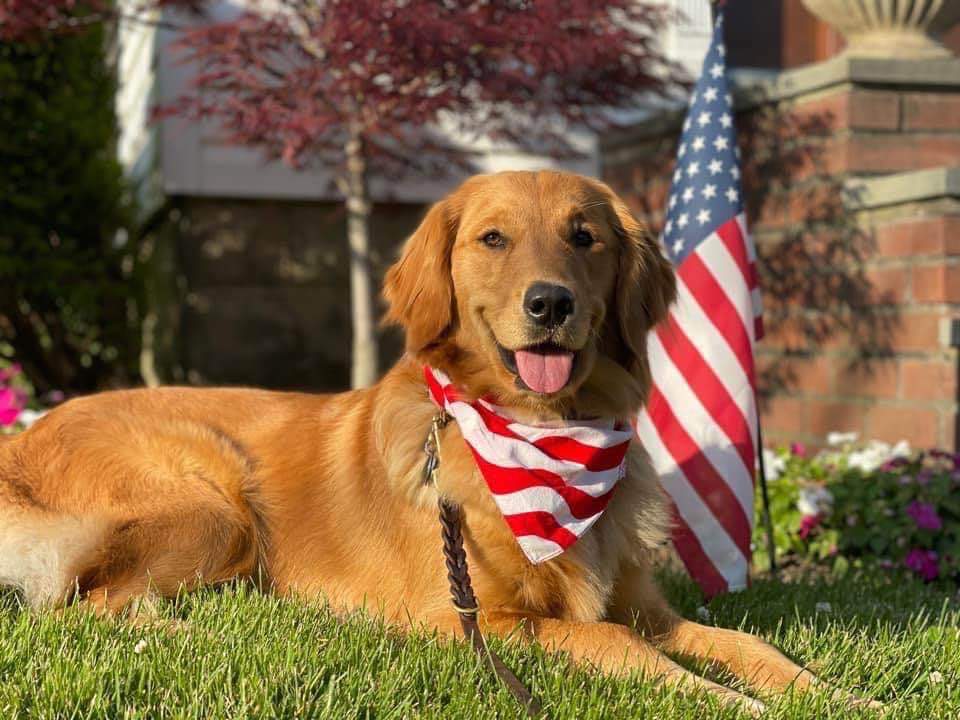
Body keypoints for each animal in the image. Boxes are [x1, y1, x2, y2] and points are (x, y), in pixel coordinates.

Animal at [0, 173, 868, 716]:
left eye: (585, 237)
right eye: (493, 239)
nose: (550, 303)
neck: (543, 436)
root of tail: (26, 436)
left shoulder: (649, 608)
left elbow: (748, 642)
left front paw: (838, 693)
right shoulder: (471, 619)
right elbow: (614, 642)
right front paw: (726, 701)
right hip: (218, 502)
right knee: (83, 606)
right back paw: (197, 632)